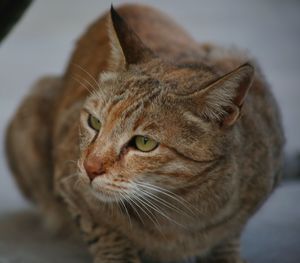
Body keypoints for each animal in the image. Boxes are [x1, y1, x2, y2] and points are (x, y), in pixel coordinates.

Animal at [5, 4, 284, 263]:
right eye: (94, 122)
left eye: (144, 143)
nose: (90, 168)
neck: (178, 205)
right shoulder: (68, 177)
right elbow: (103, 230)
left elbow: (228, 235)